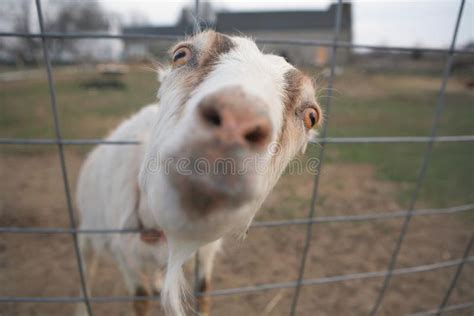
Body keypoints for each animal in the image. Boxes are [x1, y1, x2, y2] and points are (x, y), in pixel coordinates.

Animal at [77, 30, 322, 316]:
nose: (235, 121)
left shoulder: (206, 252)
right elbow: (140, 298)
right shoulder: (124, 253)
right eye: (180, 54)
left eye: (311, 116)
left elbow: (203, 292)